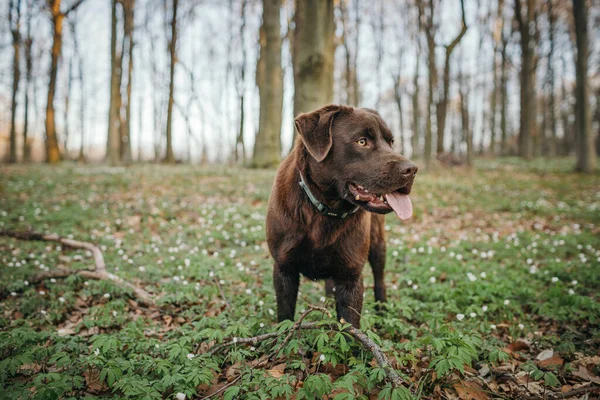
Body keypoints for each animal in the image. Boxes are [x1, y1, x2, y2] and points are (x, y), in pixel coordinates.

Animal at [268, 104, 418, 326]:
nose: (412, 169)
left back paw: (382, 310)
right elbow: (285, 318)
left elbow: (349, 327)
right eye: (362, 141)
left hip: (377, 244)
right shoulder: (284, 269)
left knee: (379, 279)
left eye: (391, 142)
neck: (325, 209)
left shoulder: (351, 275)